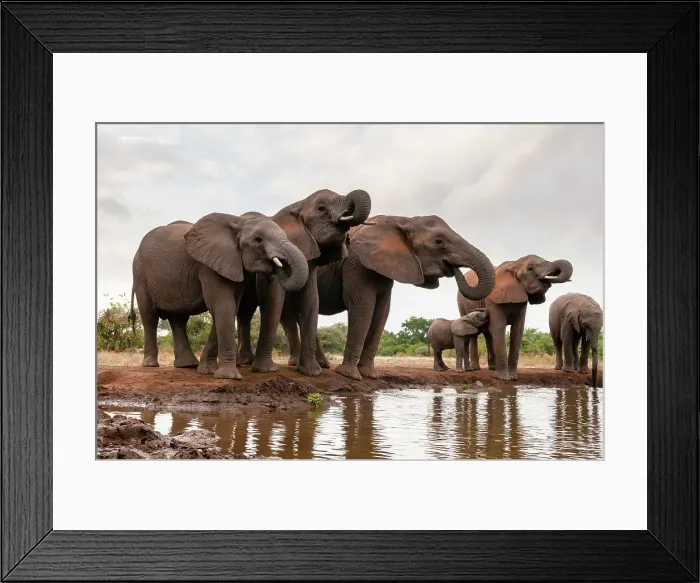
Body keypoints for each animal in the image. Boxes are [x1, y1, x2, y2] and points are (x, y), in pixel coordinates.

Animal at [128, 212, 308, 379]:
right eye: (258, 239)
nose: (279, 267)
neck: (238, 222)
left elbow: (229, 307)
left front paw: (207, 371)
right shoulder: (209, 265)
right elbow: (223, 305)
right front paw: (229, 376)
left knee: (178, 319)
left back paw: (187, 365)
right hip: (140, 275)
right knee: (149, 317)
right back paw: (151, 365)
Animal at [235, 188, 372, 376]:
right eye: (321, 208)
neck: (297, 205)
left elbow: (311, 299)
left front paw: (311, 372)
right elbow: (273, 298)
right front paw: (265, 370)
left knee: (245, 311)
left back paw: (245, 361)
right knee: (246, 309)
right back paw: (244, 362)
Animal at [281, 215, 497, 380]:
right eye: (438, 242)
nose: (455, 270)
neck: (403, 220)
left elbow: (381, 313)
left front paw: (369, 375)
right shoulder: (357, 263)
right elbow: (363, 308)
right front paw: (350, 375)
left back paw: (321, 365)